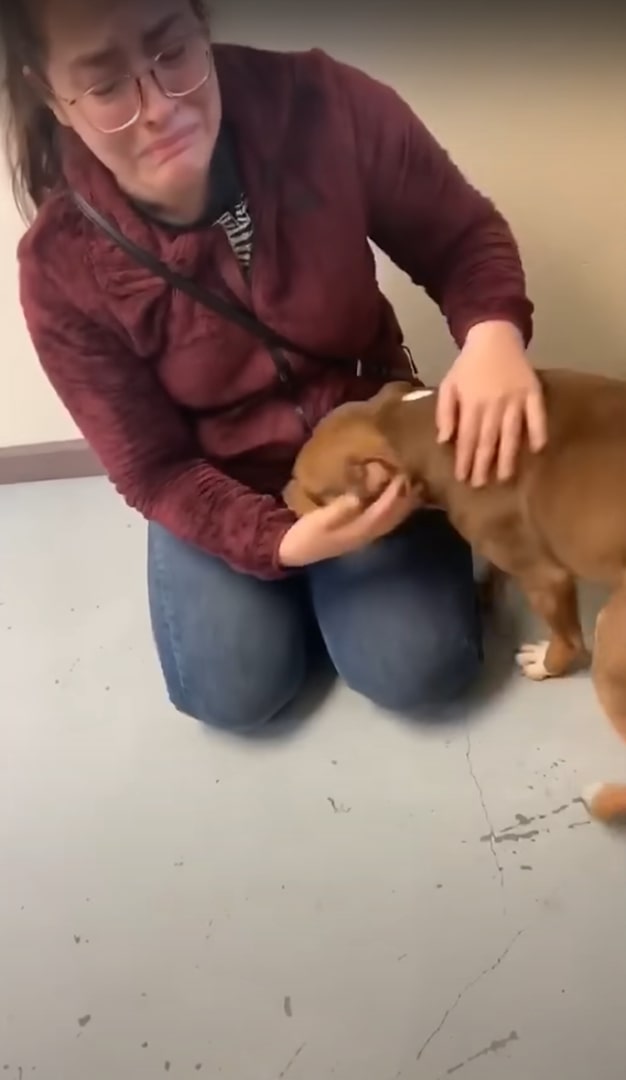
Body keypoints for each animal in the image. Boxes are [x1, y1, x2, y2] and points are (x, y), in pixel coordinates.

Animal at [284, 371, 626, 825]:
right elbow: (495, 571)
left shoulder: (545, 577)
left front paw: (545, 664)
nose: (279, 491)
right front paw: (483, 591)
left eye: (307, 488)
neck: (410, 426)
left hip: (612, 644)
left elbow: (566, 640)